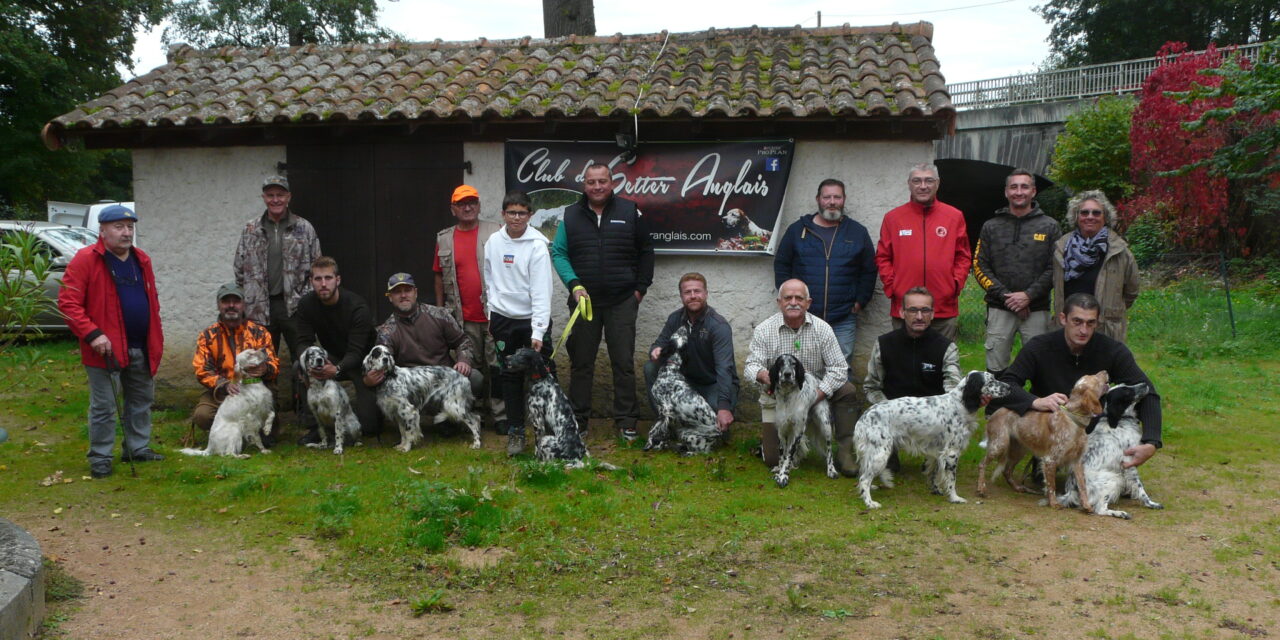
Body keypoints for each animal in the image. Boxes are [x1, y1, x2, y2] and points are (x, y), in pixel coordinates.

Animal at [645, 325, 727, 455]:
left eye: (680, 335)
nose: (683, 326)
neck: (671, 369)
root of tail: (718, 435)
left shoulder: (665, 411)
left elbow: (653, 431)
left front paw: (650, 445)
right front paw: (660, 444)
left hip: (690, 436)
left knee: (701, 452)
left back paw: (685, 452)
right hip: (683, 430)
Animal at [762, 358, 834, 486]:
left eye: (793, 364)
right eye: (780, 363)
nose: (787, 374)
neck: (787, 397)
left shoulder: (797, 431)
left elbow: (789, 455)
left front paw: (783, 476)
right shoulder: (782, 430)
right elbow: (783, 455)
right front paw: (779, 471)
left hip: (825, 425)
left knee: (829, 449)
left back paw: (831, 470)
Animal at [855, 371, 1013, 509]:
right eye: (991, 381)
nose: (1009, 387)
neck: (960, 403)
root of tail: (864, 417)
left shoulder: (938, 452)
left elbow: (935, 474)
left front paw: (936, 490)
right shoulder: (951, 452)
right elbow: (951, 480)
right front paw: (955, 498)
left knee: (863, 473)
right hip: (880, 454)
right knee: (864, 479)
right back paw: (870, 503)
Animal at [1054, 381, 1167, 517]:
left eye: (1126, 385)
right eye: (1127, 391)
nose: (1145, 383)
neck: (1121, 420)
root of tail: (1071, 490)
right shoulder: (1129, 462)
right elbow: (1140, 488)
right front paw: (1151, 503)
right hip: (1113, 479)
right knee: (1100, 509)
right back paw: (1120, 513)